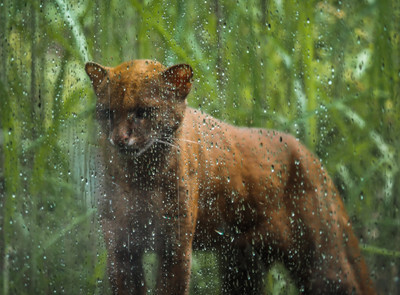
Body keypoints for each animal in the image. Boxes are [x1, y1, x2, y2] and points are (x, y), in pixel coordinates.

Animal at [84, 59, 376, 294]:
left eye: (144, 112)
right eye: (107, 112)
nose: (120, 138)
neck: (140, 177)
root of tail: (310, 155)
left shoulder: (174, 246)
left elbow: (168, 288)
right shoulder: (121, 246)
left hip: (321, 262)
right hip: (241, 266)